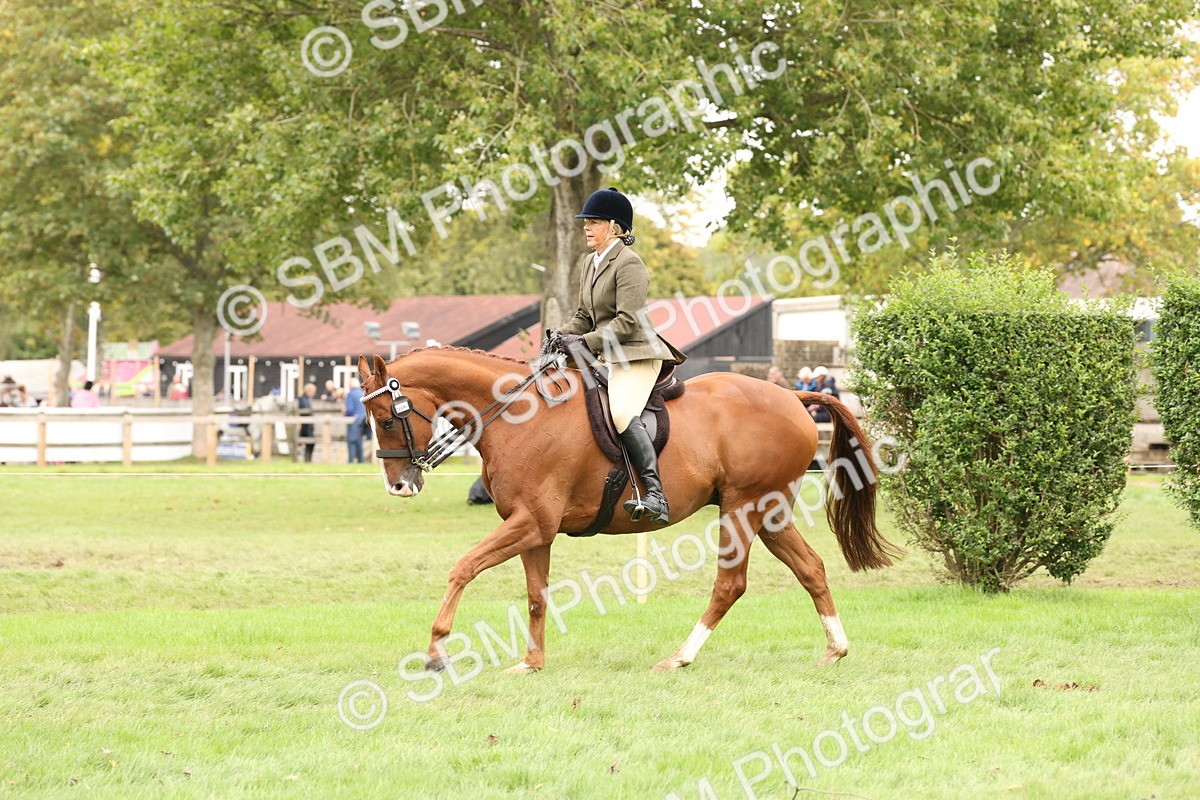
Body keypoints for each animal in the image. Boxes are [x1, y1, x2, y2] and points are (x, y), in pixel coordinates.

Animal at [357, 348, 900, 673]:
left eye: (385, 419)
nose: (400, 485)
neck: (517, 416)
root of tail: (792, 394)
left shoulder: (531, 522)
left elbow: (463, 567)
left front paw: (436, 650)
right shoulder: (534, 529)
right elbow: (536, 595)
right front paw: (531, 663)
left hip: (742, 508)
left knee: (730, 584)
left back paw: (679, 658)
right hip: (769, 513)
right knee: (811, 568)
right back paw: (835, 649)